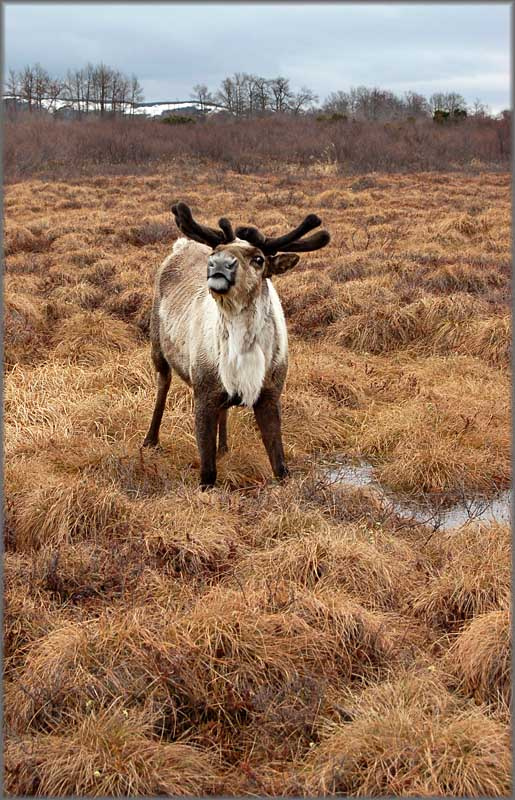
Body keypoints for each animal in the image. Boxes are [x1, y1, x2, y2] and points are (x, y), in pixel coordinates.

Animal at [143, 202, 330, 488]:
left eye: (259, 259)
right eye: (216, 251)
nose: (219, 264)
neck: (244, 353)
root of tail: (181, 245)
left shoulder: (269, 395)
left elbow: (280, 466)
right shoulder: (204, 394)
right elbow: (207, 473)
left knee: (224, 412)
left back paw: (224, 449)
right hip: (157, 348)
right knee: (162, 386)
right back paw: (150, 440)